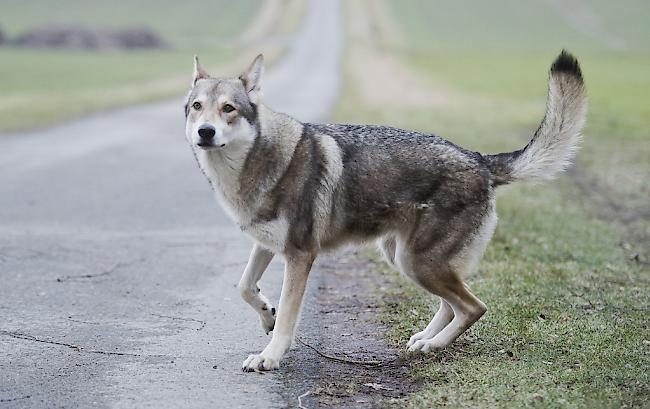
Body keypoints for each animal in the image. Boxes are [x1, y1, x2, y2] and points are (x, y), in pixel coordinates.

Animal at [184, 50, 588, 370]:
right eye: (197, 107)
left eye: (229, 109)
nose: (205, 132)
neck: (254, 164)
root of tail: (479, 160)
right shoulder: (267, 245)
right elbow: (244, 287)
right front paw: (266, 316)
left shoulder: (300, 255)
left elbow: (287, 317)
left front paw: (269, 355)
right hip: (406, 259)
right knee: (453, 305)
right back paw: (424, 338)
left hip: (418, 263)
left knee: (474, 307)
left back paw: (433, 346)